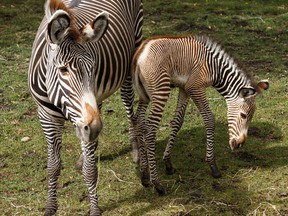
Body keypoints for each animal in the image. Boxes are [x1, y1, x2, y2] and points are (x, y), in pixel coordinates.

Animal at [28, 0, 143, 215]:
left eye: (92, 68)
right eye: (63, 69)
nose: (96, 127)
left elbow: (91, 170)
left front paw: (95, 209)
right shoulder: (47, 116)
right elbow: (53, 166)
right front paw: (50, 207)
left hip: (134, 48)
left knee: (128, 103)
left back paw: (135, 151)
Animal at [132, 35, 268, 194]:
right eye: (243, 115)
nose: (239, 145)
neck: (214, 67)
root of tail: (140, 54)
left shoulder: (184, 88)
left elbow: (177, 121)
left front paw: (168, 162)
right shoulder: (195, 87)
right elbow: (209, 119)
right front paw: (212, 164)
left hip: (145, 95)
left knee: (138, 121)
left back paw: (144, 175)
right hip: (160, 91)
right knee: (150, 129)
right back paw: (157, 184)